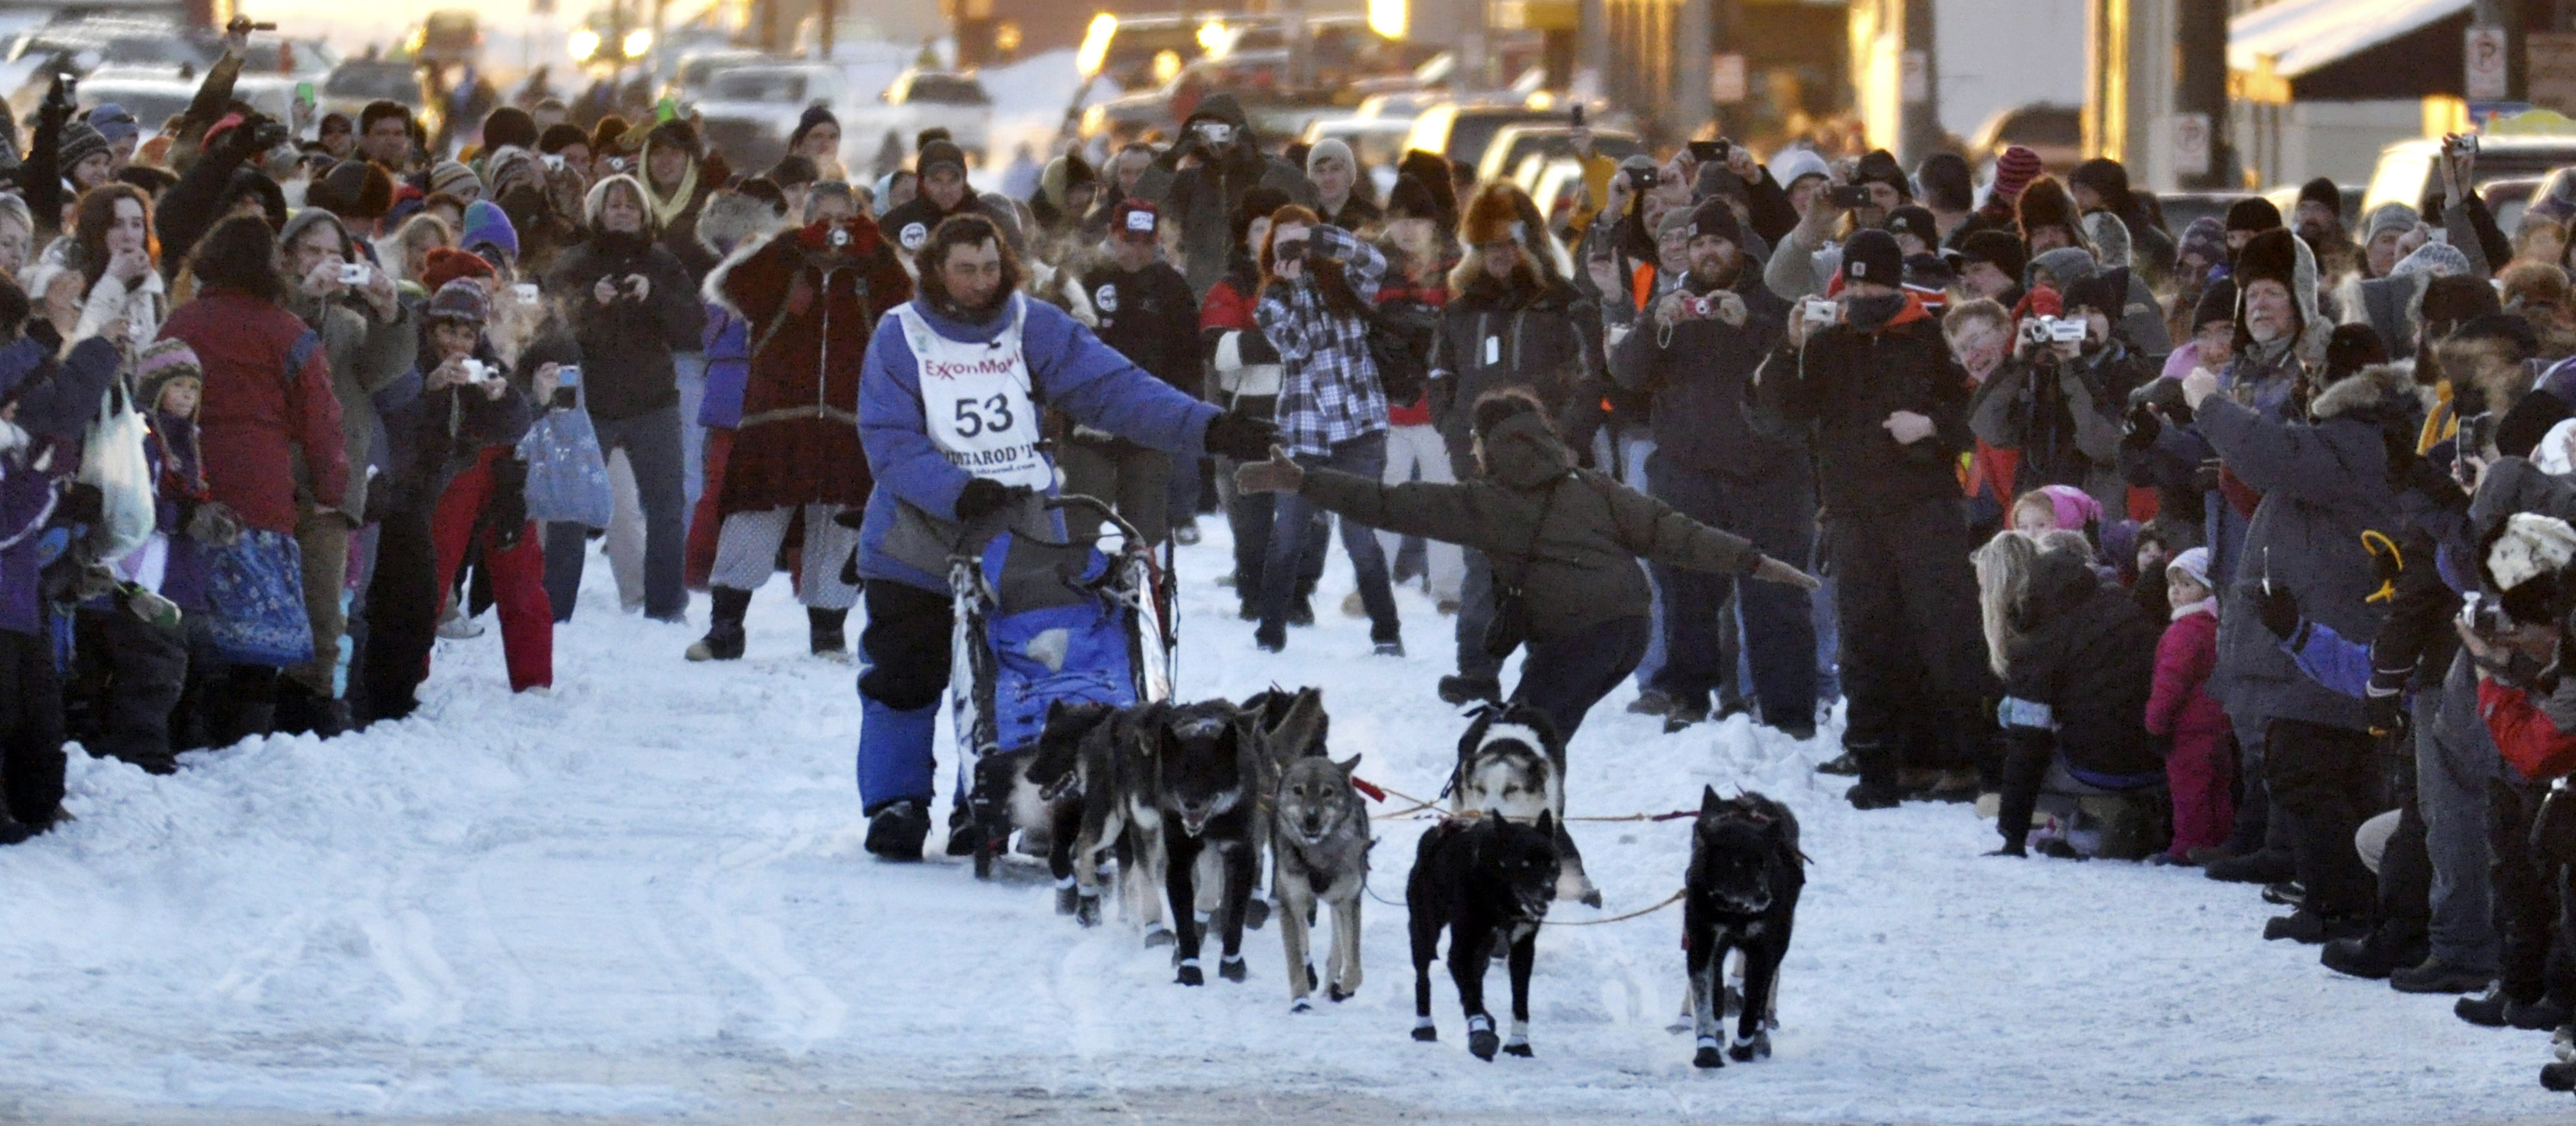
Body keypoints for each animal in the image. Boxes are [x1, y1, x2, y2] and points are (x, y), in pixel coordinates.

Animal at [1411, 809, 1545, 1051]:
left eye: (1552, 862)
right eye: (1525, 863)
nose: (1548, 890)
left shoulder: (1523, 946)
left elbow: (1519, 1000)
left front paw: (1518, 1044)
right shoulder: (1460, 949)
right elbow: (1468, 990)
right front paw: (1480, 1030)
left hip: (1483, 946)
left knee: (1476, 974)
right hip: (1424, 931)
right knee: (1423, 976)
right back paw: (1424, 1026)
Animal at [1679, 783, 1803, 1066]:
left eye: (1764, 863)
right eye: (1736, 862)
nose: (1763, 897)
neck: (1735, 911)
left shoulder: (1762, 949)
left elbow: (1754, 1000)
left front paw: (1743, 1049)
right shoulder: (1703, 941)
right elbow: (1706, 997)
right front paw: (1708, 1049)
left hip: (1779, 943)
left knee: (1764, 992)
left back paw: (1759, 1036)